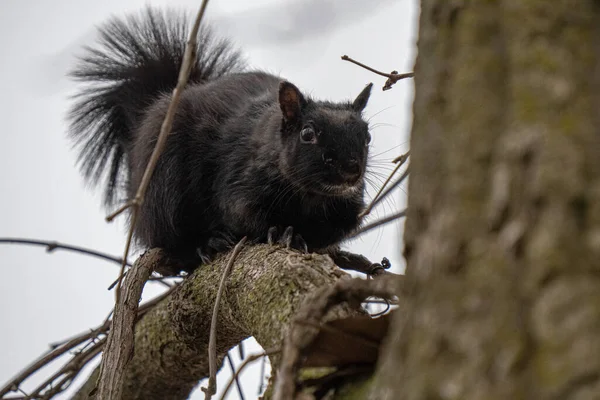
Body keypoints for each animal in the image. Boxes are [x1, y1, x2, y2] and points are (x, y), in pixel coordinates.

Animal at [68, 7, 372, 272]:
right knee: (172, 241)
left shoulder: (345, 211)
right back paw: (207, 244)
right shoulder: (238, 180)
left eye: (368, 136)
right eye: (307, 134)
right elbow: (244, 215)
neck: (310, 196)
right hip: (163, 187)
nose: (351, 170)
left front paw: (300, 236)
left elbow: (328, 232)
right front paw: (281, 232)